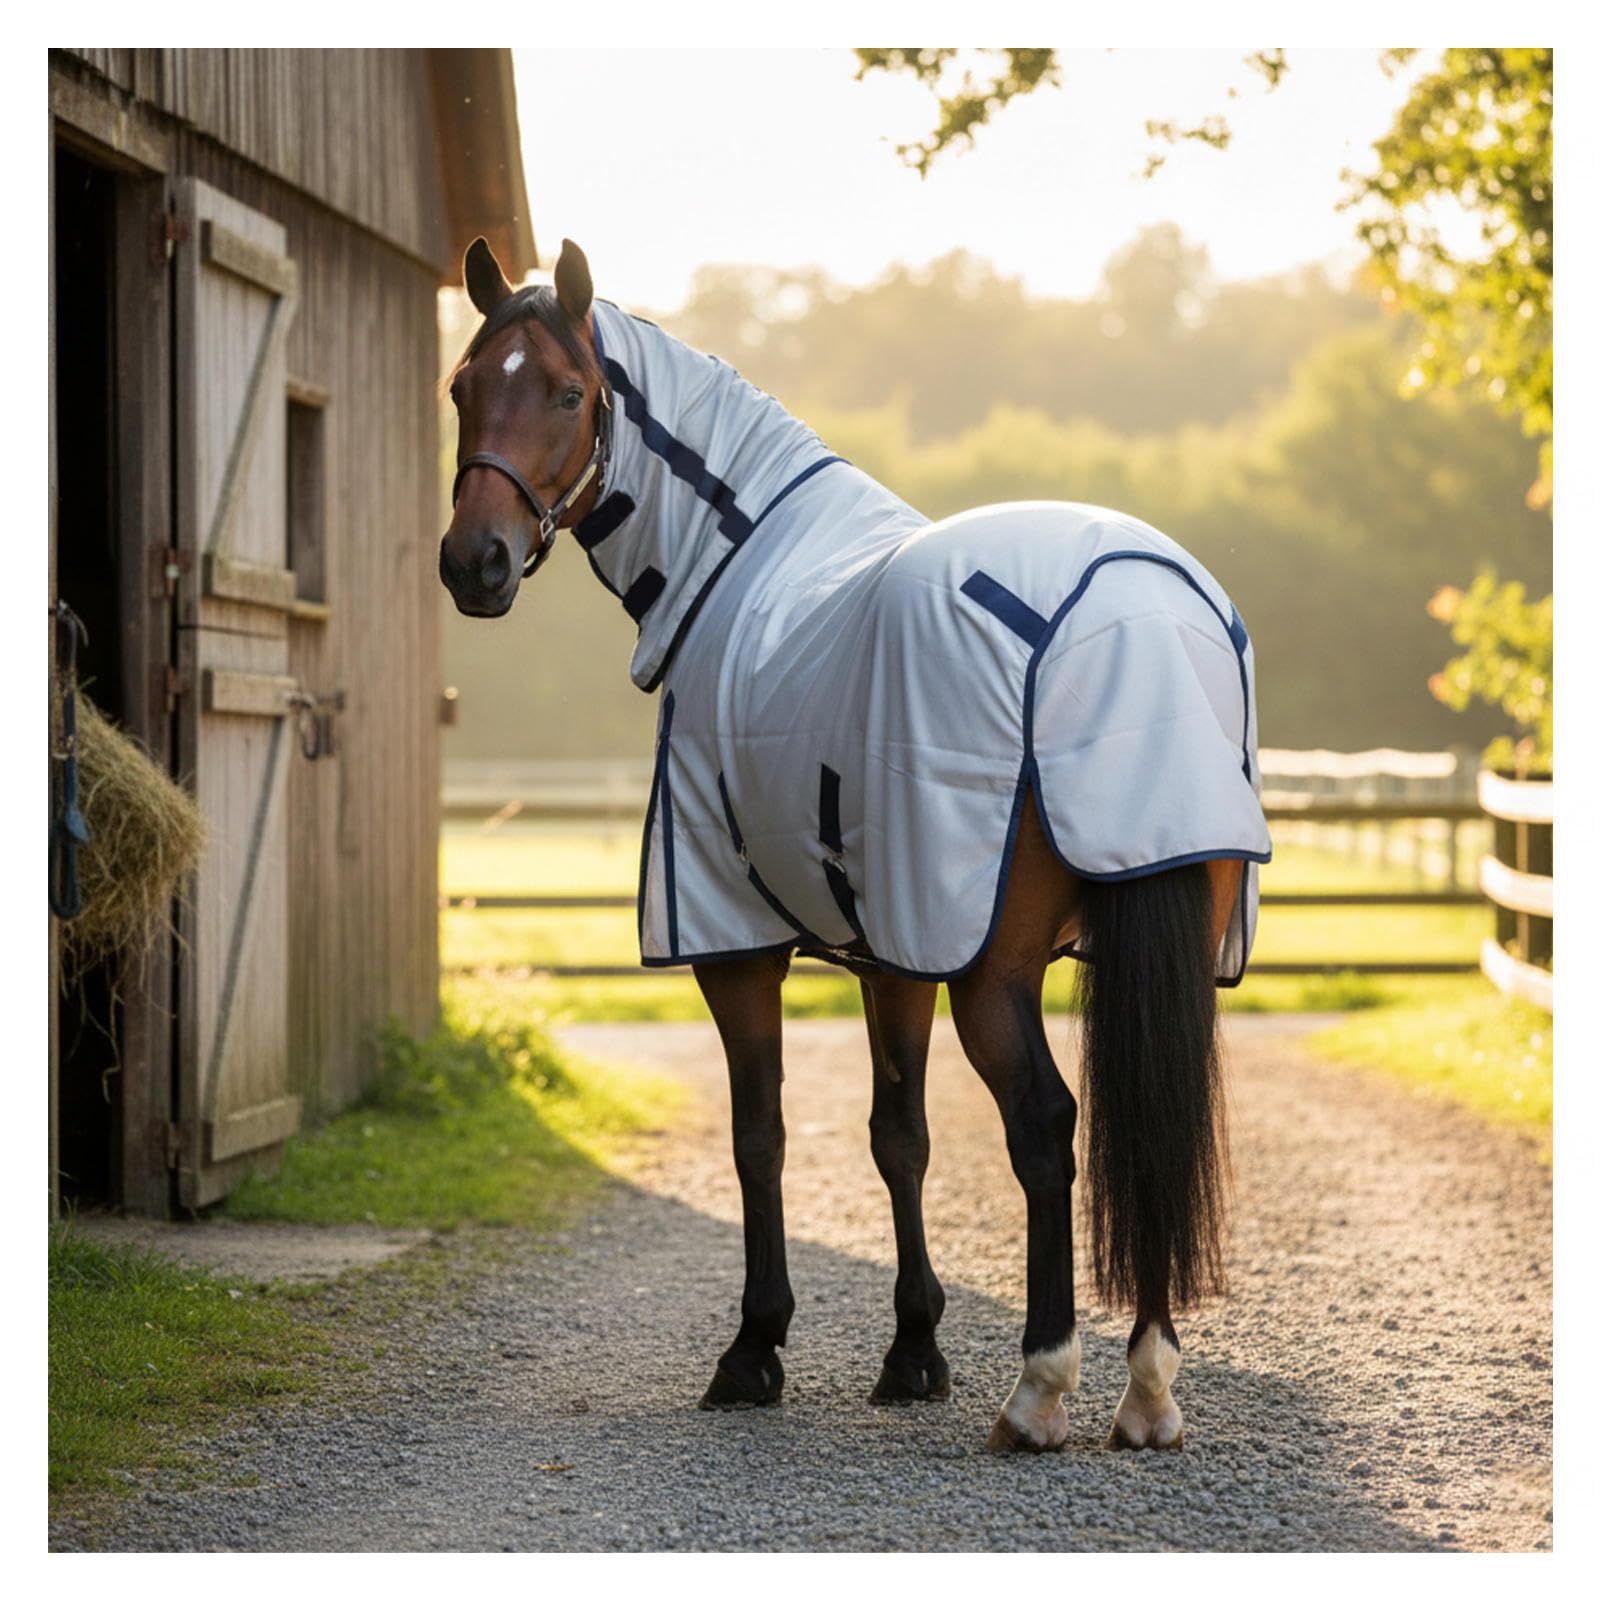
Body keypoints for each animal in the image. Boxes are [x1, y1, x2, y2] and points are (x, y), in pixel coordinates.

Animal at [438, 236, 1271, 1453]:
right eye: (461, 388)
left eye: (565, 392)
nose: (476, 564)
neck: (734, 564)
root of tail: (1138, 620)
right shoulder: (897, 950)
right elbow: (898, 1136)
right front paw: (913, 1348)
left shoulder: (738, 945)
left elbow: (762, 1134)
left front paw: (753, 1348)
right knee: (1153, 1126)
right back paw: (1148, 1392)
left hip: (996, 973)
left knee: (1047, 1128)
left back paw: (1040, 1388)